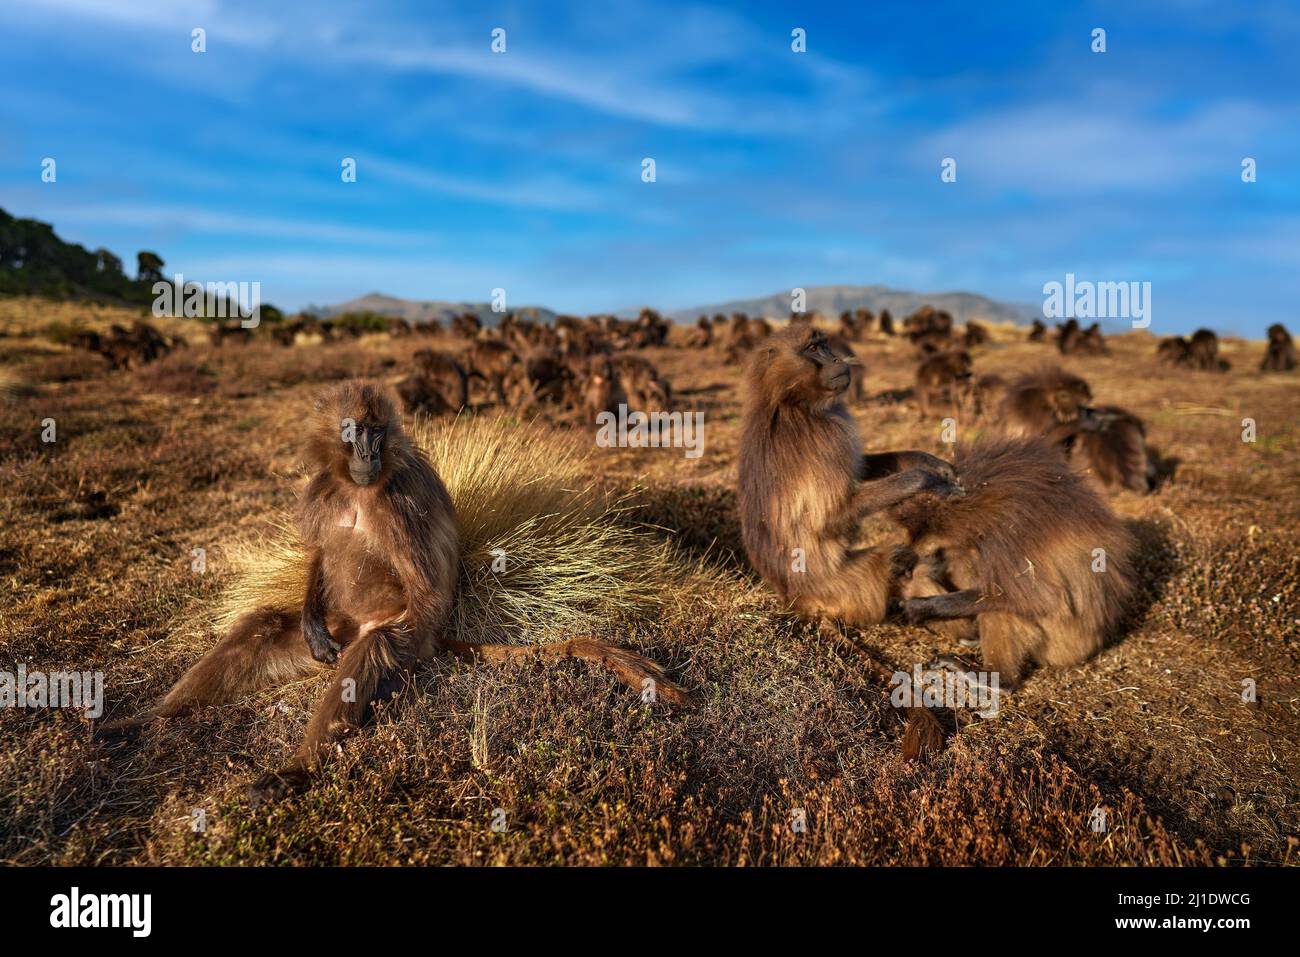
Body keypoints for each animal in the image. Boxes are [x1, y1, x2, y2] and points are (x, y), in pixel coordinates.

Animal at [94, 382, 686, 804]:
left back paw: (296, 770)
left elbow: (427, 584)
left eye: (378, 433)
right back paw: (143, 723)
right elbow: (317, 553)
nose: (367, 454)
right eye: (352, 430)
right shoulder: (320, 491)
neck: (360, 488)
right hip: (334, 627)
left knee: (373, 649)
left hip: (397, 635)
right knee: (261, 628)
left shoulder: (405, 502)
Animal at [736, 324, 960, 628]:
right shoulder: (826, 435)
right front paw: (928, 479)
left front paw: (927, 461)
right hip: (848, 588)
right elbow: (831, 517)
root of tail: (794, 598)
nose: (838, 359)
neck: (787, 402)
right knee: (902, 563)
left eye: (825, 344)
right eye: (813, 349)